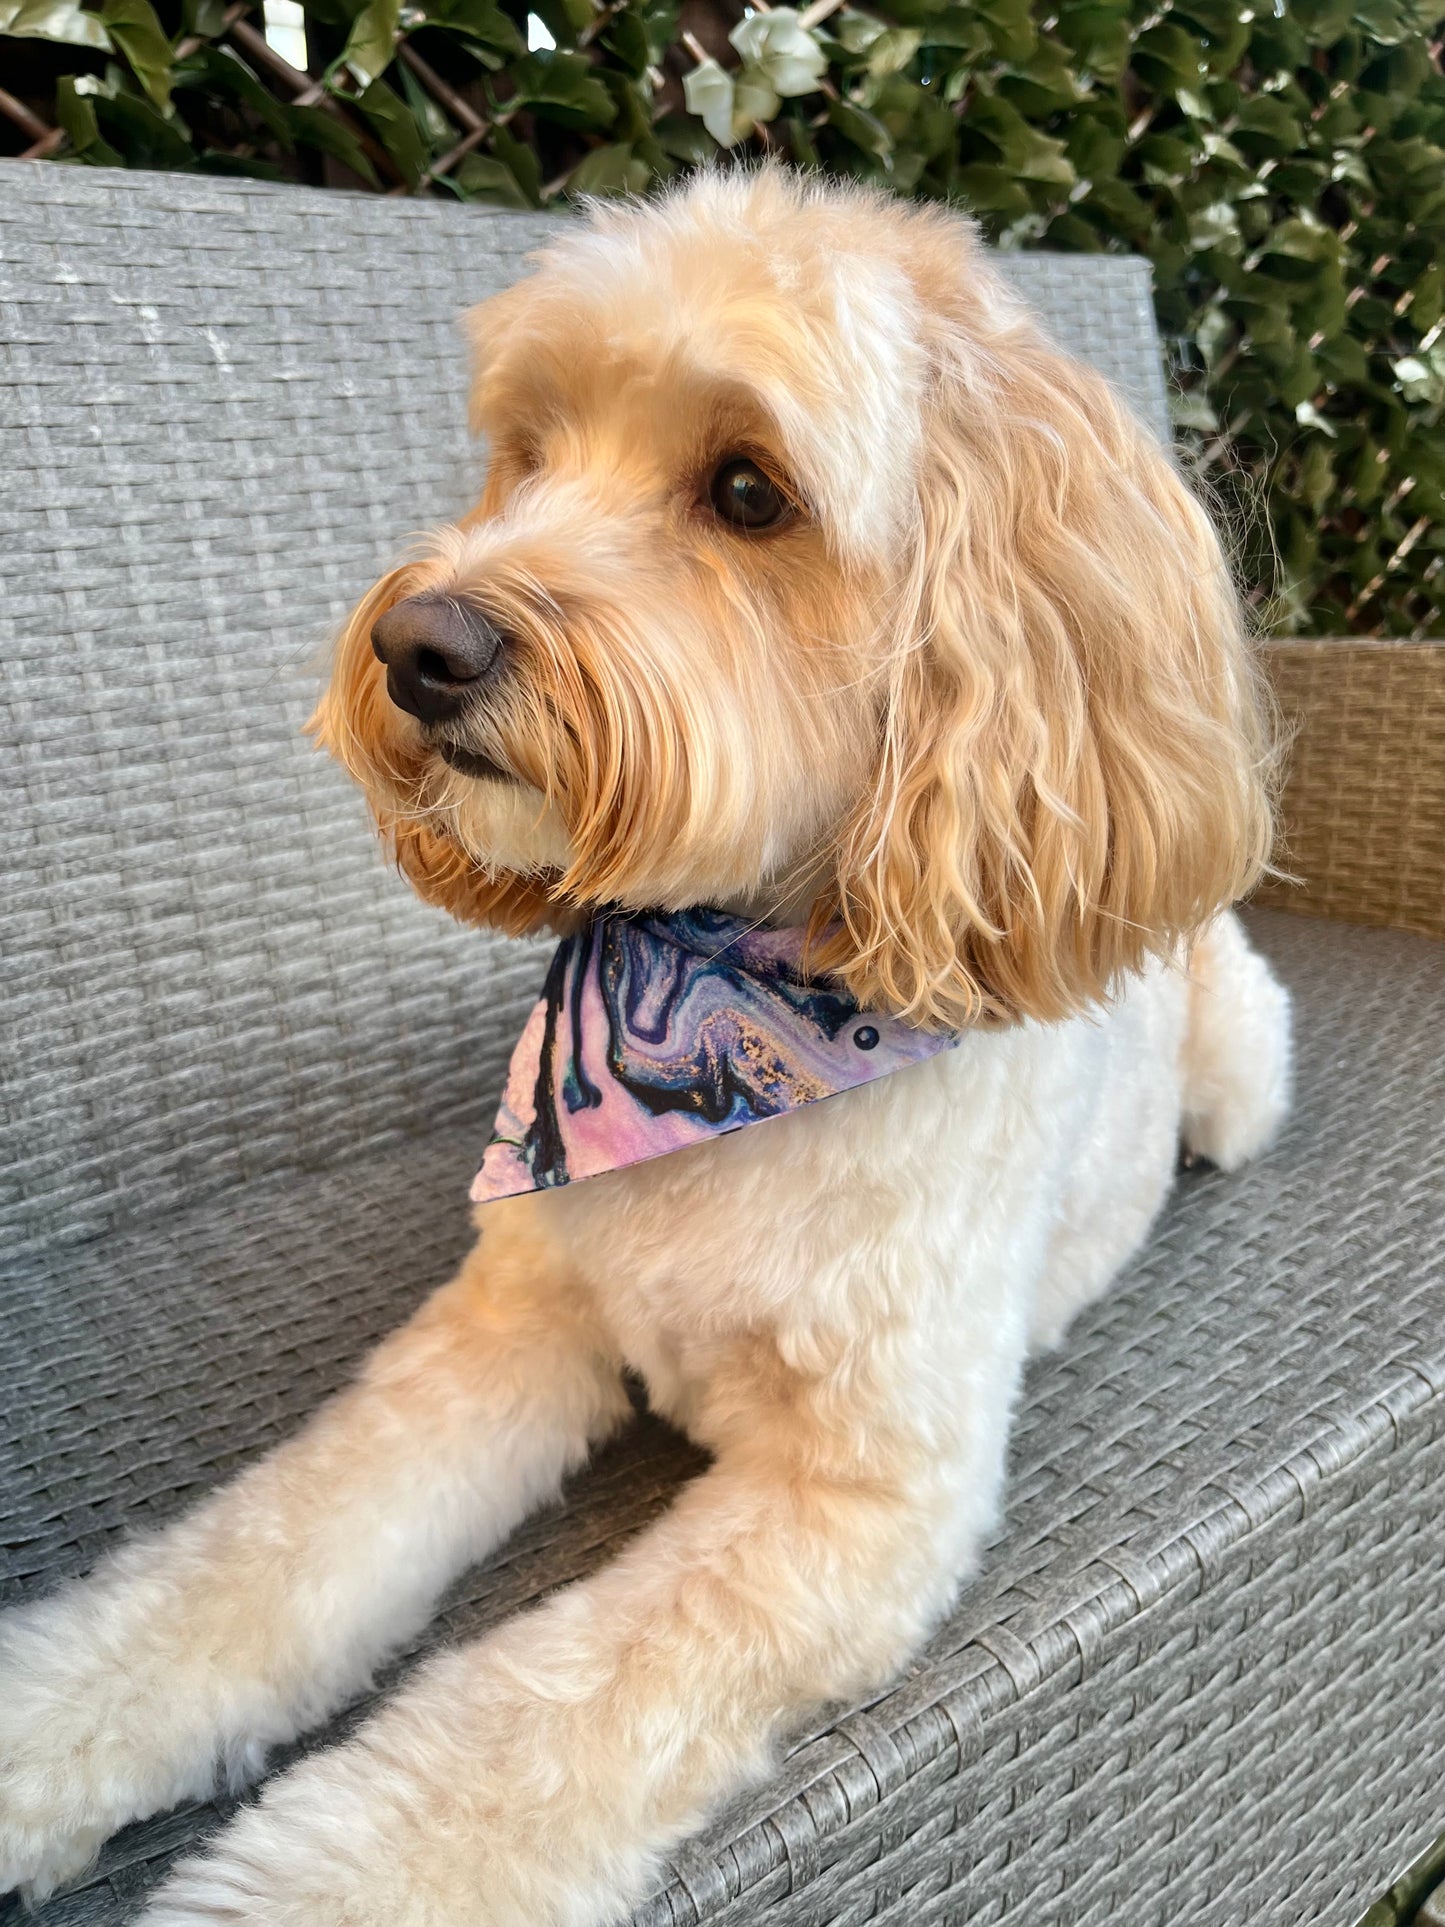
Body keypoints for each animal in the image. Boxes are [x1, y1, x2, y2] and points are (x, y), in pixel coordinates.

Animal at [0, 169, 1294, 1927]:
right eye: (528, 452)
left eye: (748, 490)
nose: (419, 643)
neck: (717, 1004)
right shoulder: (504, 1330)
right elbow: (261, 1554)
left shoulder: (849, 1505)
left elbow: (527, 1723)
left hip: (1239, 1062)